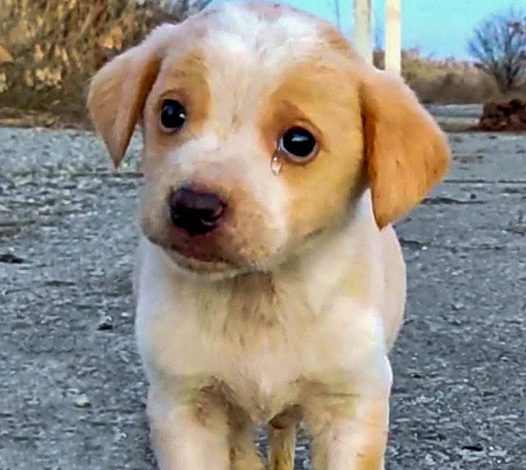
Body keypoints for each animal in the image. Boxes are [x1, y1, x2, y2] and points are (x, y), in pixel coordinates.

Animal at [88, 1, 452, 468]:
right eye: (170, 113)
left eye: (298, 141)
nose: (193, 206)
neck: (259, 295)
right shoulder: (185, 403)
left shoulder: (351, 405)